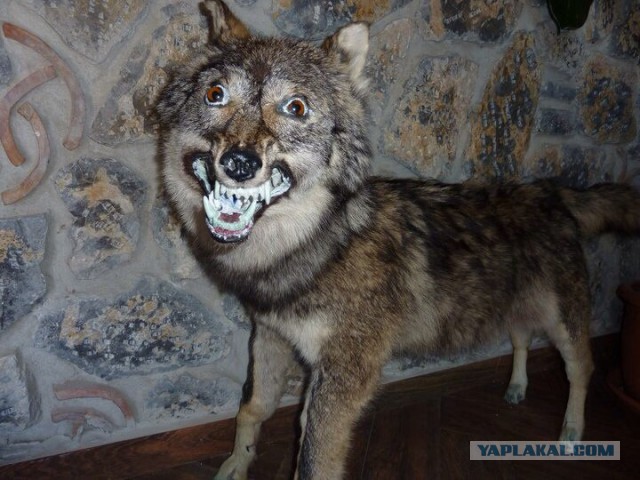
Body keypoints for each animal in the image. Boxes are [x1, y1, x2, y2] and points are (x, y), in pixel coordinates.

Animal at [156, 1, 640, 478]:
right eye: (215, 95)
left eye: (295, 107)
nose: (239, 162)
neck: (322, 246)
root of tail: (550, 191)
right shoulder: (270, 338)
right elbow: (252, 410)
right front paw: (235, 466)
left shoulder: (343, 375)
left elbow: (312, 459)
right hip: (515, 306)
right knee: (521, 337)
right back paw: (517, 388)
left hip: (563, 324)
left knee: (583, 369)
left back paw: (572, 433)